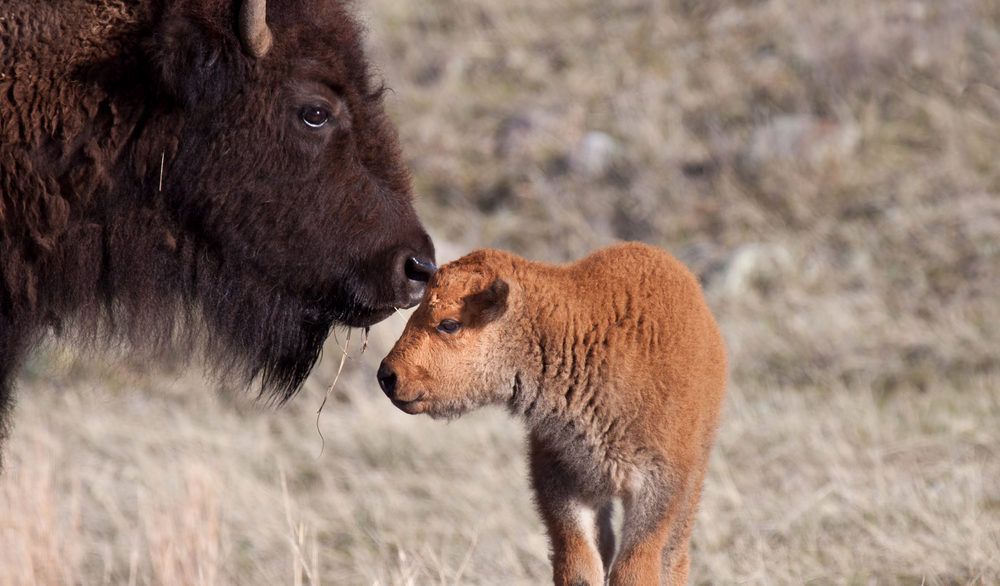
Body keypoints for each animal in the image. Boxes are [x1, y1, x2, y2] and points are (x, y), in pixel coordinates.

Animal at [378, 244, 727, 585]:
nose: (387, 376)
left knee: (674, 556)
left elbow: (636, 567)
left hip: (692, 481)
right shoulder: (562, 482)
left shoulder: (657, 487)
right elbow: (579, 565)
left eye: (449, 324)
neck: (579, 338)